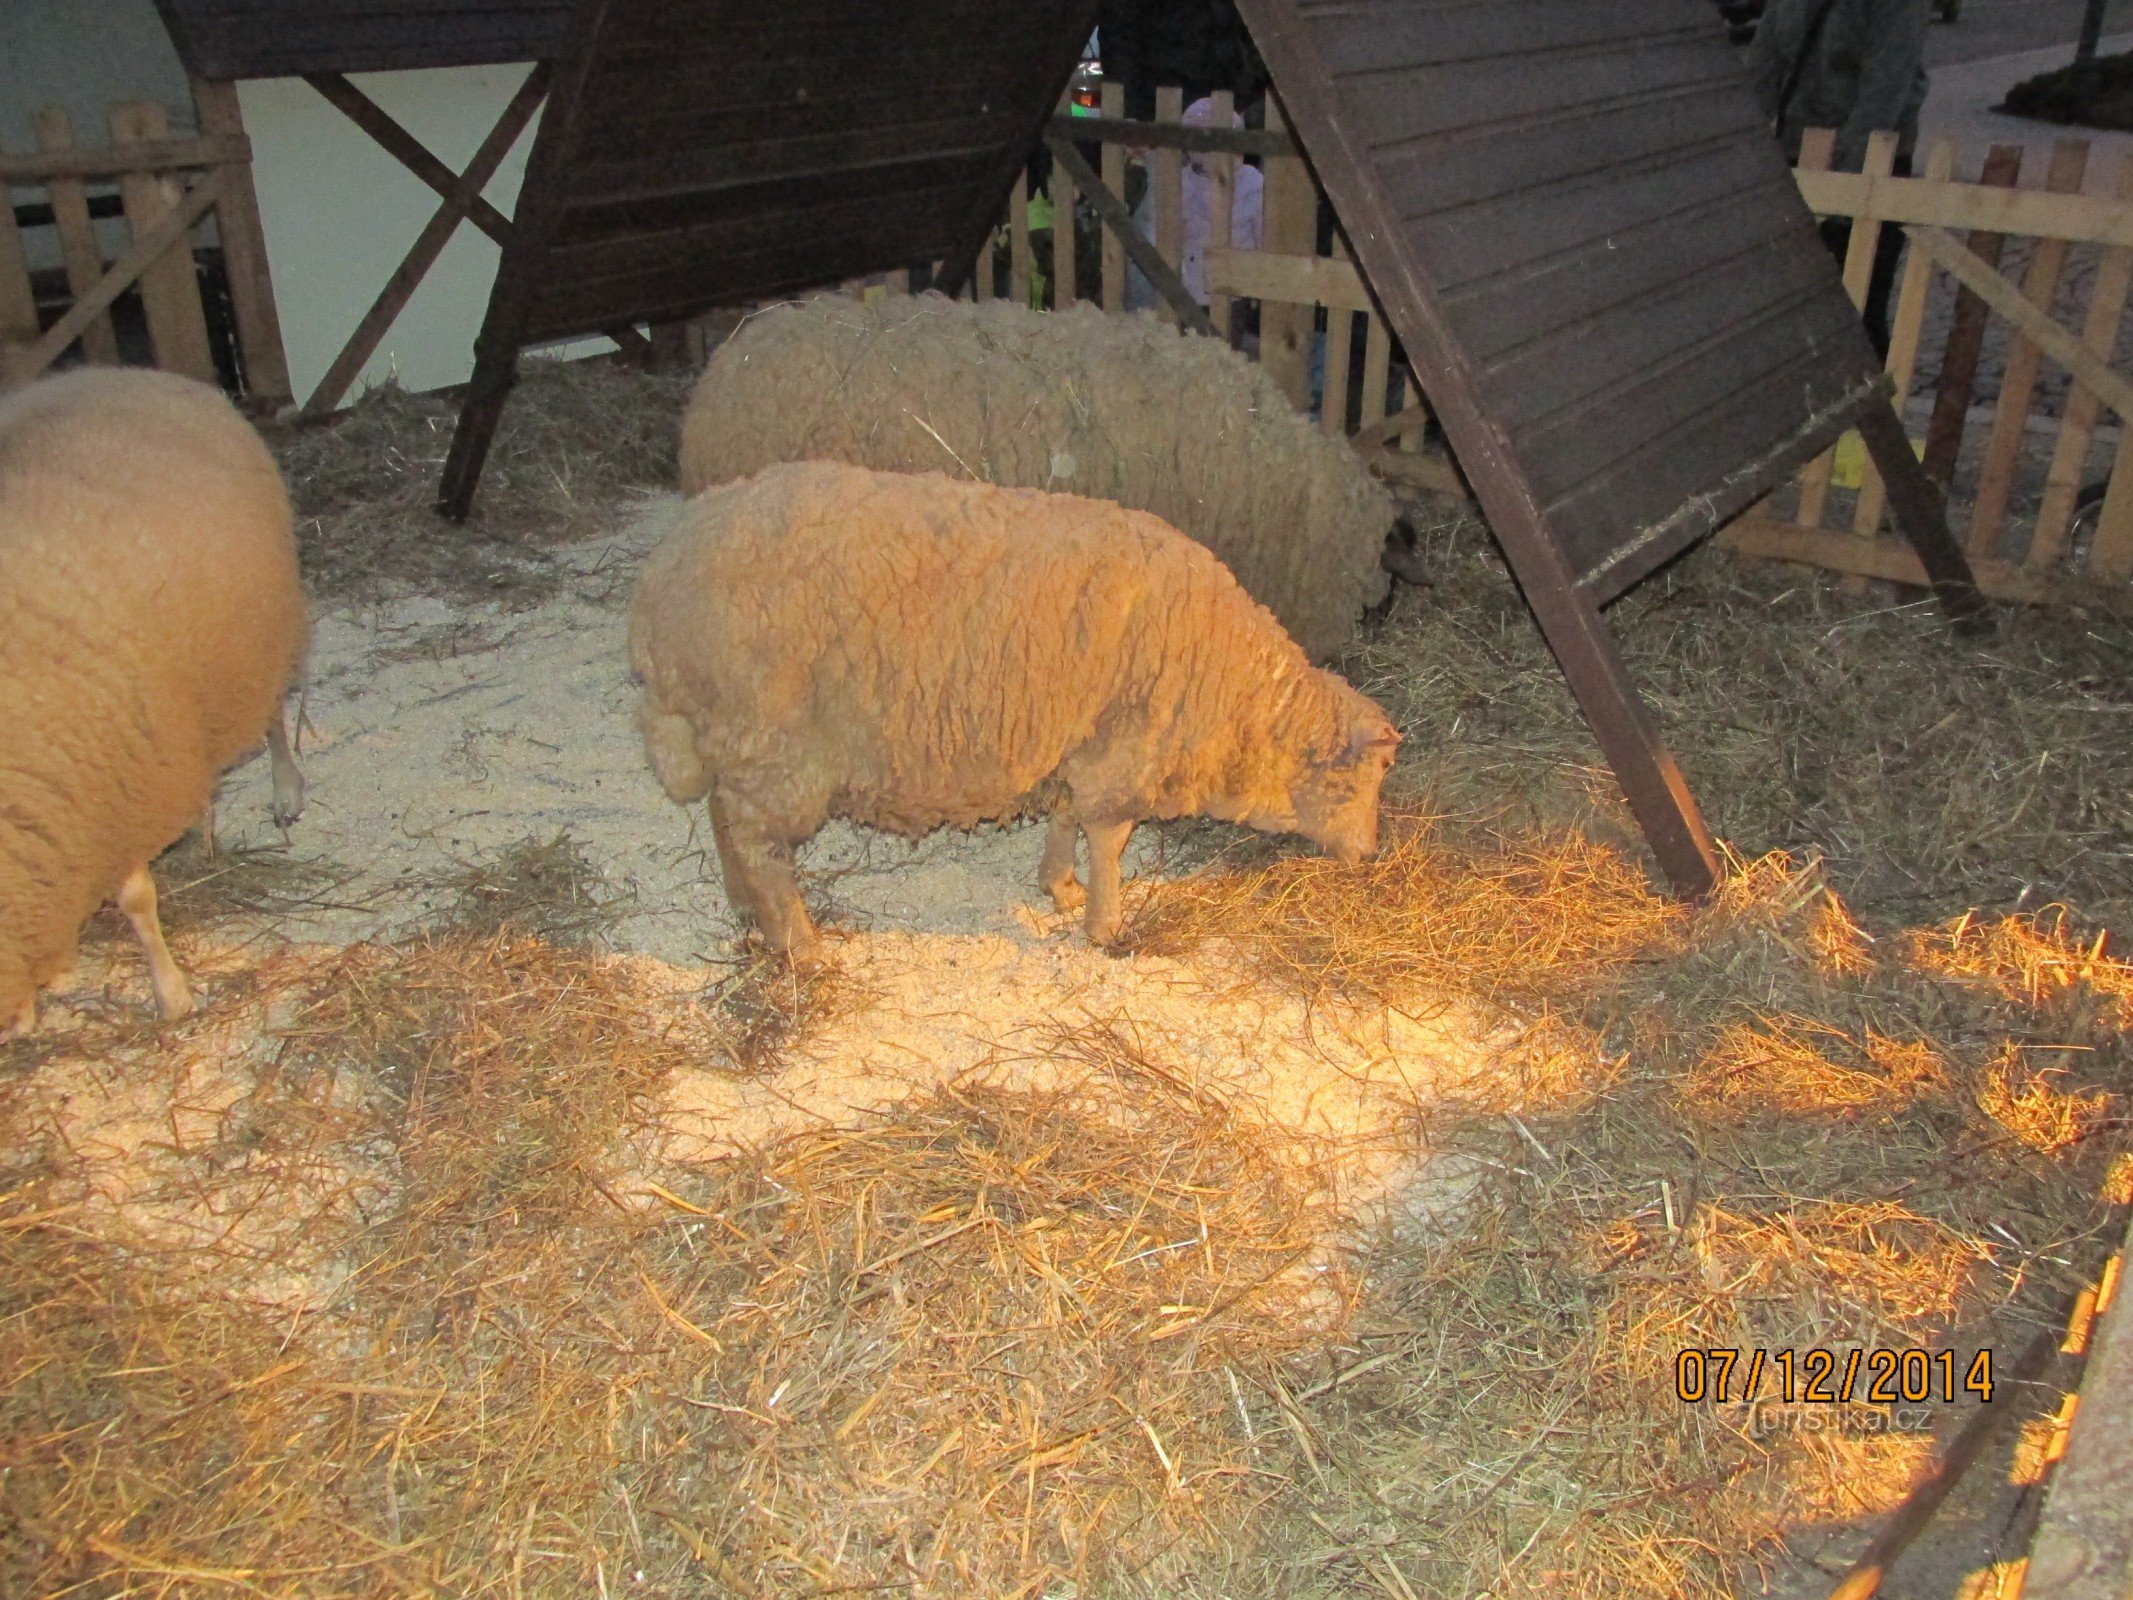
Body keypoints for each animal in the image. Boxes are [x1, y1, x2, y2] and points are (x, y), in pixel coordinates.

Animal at [0, 366, 311, 1041]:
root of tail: (129, 372)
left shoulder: (116, 783)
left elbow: (137, 899)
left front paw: (173, 995)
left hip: (257, 635)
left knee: (273, 713)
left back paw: (286, 791)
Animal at [631, 456, 1399, 972]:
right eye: (1358, 780)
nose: (1368, 856)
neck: (1236, 689)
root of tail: (663, 577)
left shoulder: (1077, 741)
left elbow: (1064, 818)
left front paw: (1059, 886)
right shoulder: (1123, 753)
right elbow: (1108, 841)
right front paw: (1106, 925)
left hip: (734, 736)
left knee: (722, 813)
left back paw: (743, 906)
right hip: (775, 744)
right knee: (760, 842)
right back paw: (800, 944)